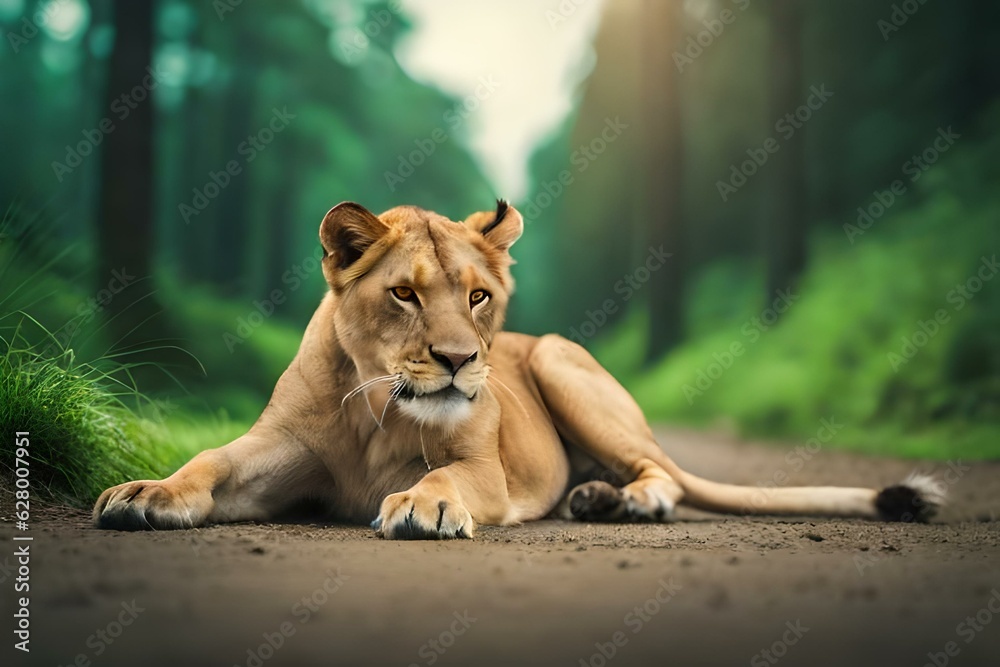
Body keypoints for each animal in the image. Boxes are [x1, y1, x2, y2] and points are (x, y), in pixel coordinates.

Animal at [93, 200, 944, 538]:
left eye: (478, 296)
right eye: (404, 293)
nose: (460, 361)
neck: (376, 408)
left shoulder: (486, 468)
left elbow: (444, 474)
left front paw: (423, 506)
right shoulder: (276, 453)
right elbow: (208, 459)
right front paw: (143, 493)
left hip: (565, 361)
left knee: (662, 471)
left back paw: (628, 500)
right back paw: (594, 497)